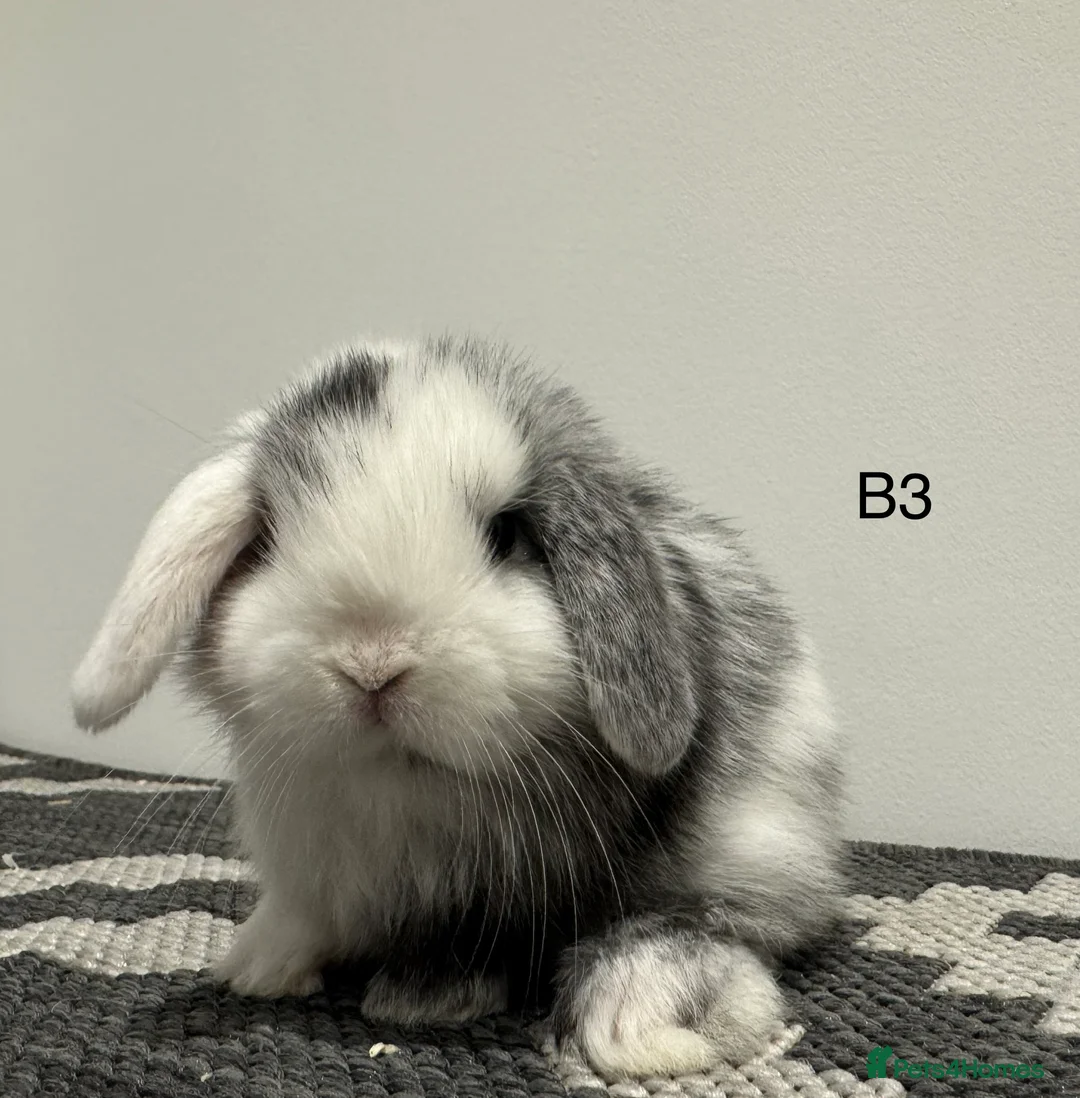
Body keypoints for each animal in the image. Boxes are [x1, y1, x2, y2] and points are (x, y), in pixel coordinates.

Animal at [72, 335, 845, 1080]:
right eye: (266, 537)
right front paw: (262, 970)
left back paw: (638, 1019)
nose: (372, 666)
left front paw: (423, 999)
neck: (411, 807)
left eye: (506, 533)